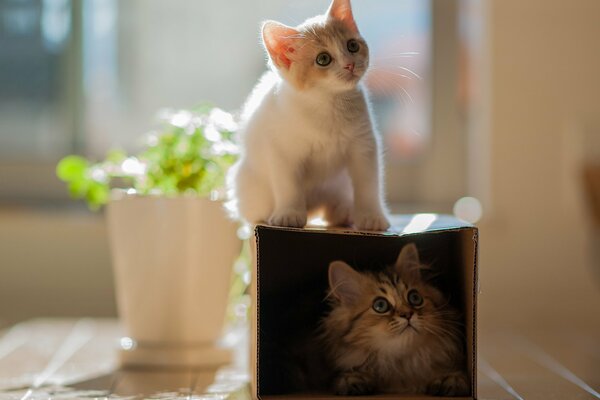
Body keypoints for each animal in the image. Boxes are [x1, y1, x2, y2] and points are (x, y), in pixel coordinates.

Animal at [225, 0, 390, 231]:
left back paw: (345, 212)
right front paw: (289, 214)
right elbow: (288, 184)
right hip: (249, 186)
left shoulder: (364, 144)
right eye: (323, 59)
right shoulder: (282, 148)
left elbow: (368, 183)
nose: (349, 65)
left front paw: (371, 216)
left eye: (352, 46)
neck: (329, 104)